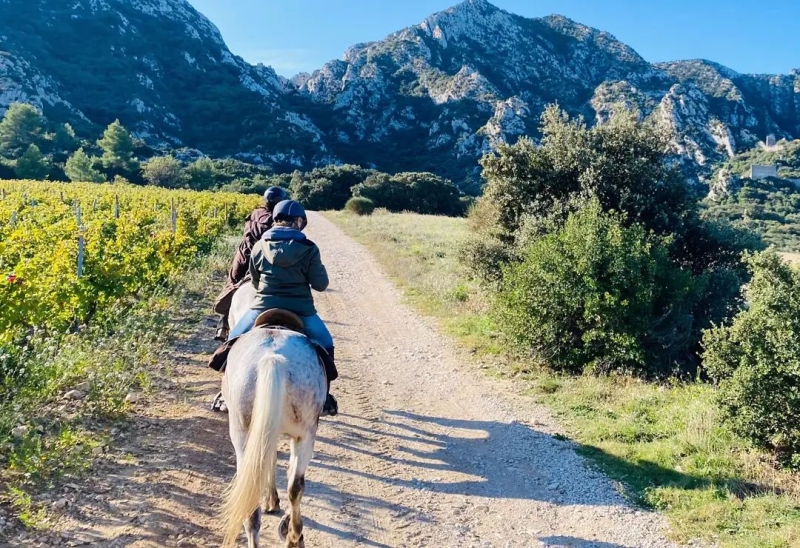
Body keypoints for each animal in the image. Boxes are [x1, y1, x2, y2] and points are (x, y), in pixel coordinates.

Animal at [220, 282, 326, 548]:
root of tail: (272, 358)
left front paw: (271, 501)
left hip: (243, 433)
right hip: (305, 434)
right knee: (295, 485)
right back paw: (294, 535)